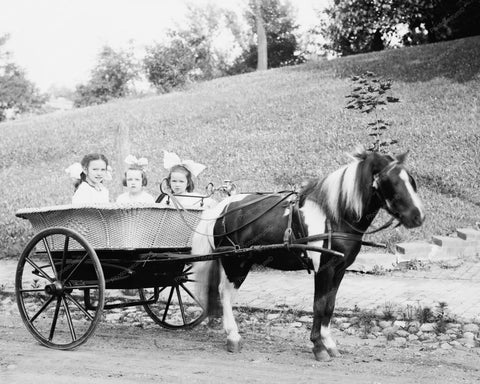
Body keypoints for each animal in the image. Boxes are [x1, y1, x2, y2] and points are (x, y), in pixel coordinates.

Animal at [191, 149, 424, 360]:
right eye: (390, 182)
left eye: (411, 181)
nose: (418, 216)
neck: (334, 218)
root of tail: (223, 207)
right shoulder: (324, 269)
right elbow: (319, 305)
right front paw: (318, 347)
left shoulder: (339, 269)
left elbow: (330, 305)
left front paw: (329, 343)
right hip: (234, 262)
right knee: (225, 293)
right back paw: (233, 337)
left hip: (239, 261)